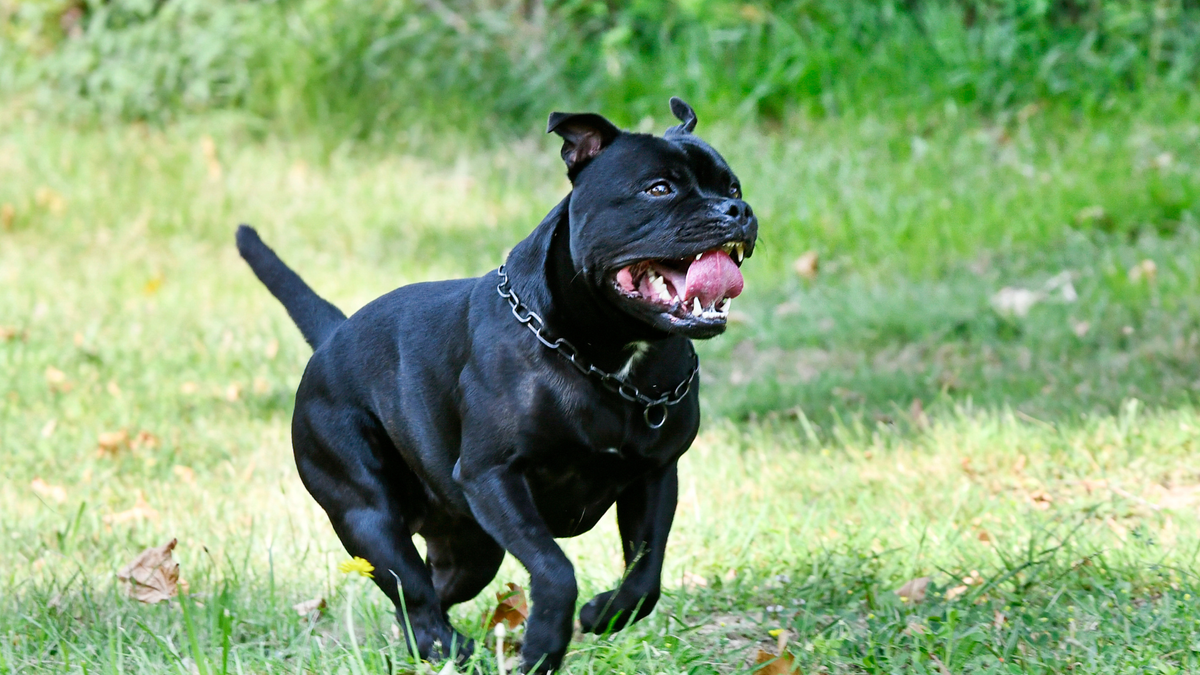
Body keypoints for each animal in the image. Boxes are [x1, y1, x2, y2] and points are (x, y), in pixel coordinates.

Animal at [235, 97, 753, 667]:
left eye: (732, 187)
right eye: (658, 188)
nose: (737, 211)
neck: (608, 358)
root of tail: (332, 335)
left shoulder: (656, 475)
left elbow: (646, 572)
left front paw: (604, 613)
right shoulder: (494, 477)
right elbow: (555, 568)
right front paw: (544, 645)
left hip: (470, 548)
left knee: (425, 591)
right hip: (367, 515)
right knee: (411, 588)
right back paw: (447, 646)